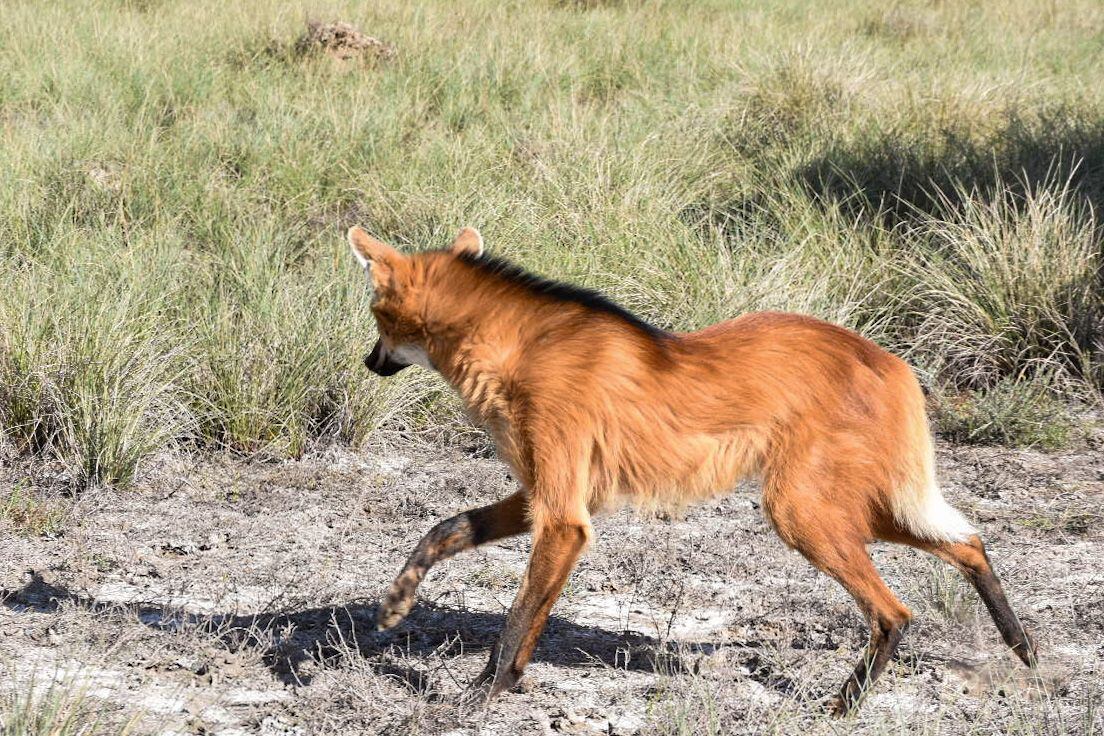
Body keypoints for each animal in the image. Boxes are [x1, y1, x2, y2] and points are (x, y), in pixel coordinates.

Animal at [348, 226, 1037, 715]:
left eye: (377, 317)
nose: (368, 362)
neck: (514, 351)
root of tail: (886, 356)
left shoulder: (565, 517)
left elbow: (518, 616)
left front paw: (480, 695)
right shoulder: (551, 497)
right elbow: (446, 532)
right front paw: (396, 606)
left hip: (799, 512)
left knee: (895, 611)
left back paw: (843, 704)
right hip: (850, 507)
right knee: (968, 540)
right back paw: (1022, 647)